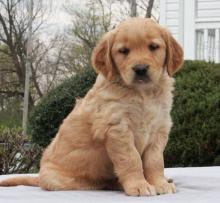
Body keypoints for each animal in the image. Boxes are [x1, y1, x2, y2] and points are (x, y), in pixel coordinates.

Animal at [0, 17, 182, 197]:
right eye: (123, 51)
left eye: (153, 47)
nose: (140, 69)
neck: (143, 93)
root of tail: (39, 177)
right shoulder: (117, 128)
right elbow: (131, 159)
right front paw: (139, 185)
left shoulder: (159, 128)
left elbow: (155, 161)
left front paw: (159, 183)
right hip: (62, 181)